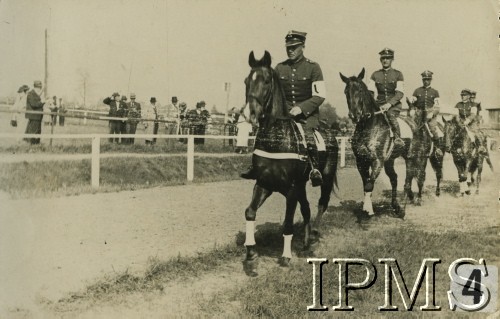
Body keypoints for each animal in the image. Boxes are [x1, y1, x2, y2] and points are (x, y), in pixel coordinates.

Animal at [240, 50, 338, 276]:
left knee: (322, 203)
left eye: (266, 81)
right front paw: (251, 256)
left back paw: (315, 234)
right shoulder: (264, 184)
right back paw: (306, 241)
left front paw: (285, 256)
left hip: (325, 179)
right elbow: (250, 212)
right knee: (307, 209)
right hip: (301, 187)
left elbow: (287, 222)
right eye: (246, 81)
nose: (249, 114)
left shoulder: (291, 188)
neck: (277, 138)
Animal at [340, 69, 426, 218]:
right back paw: (395, 206)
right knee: (394, 178)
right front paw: (367, 208)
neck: (368, 126)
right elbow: (366, 184)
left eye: (360, 90)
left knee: (408, 182)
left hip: (410, 158)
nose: (354, 115)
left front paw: (368, 209)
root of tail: (414, 124)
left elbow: (369, 184)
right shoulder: (361, 161)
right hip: (389, 161)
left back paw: (402, 210)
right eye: (346, 91)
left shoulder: (377, 161)